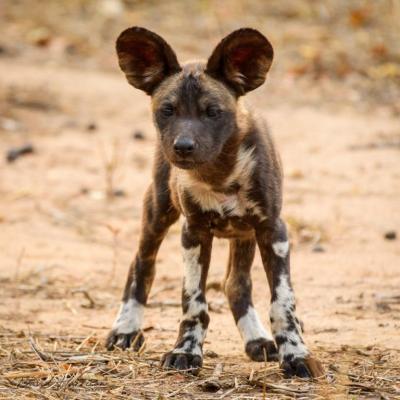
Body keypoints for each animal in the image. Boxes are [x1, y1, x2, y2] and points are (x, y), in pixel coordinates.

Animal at [107, 27, 324, 378]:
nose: (183, 146)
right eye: (168, 110)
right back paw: (126, 329)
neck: (219, 174)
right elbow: (194, 304)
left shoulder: (272, 230)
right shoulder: (194, 232)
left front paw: (295, 355)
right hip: (158, 213)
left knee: (235, 284)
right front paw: (185, 352)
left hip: (245, 233)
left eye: (212, 112)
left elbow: (283, 304)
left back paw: (257, 339)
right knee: (141, 264)